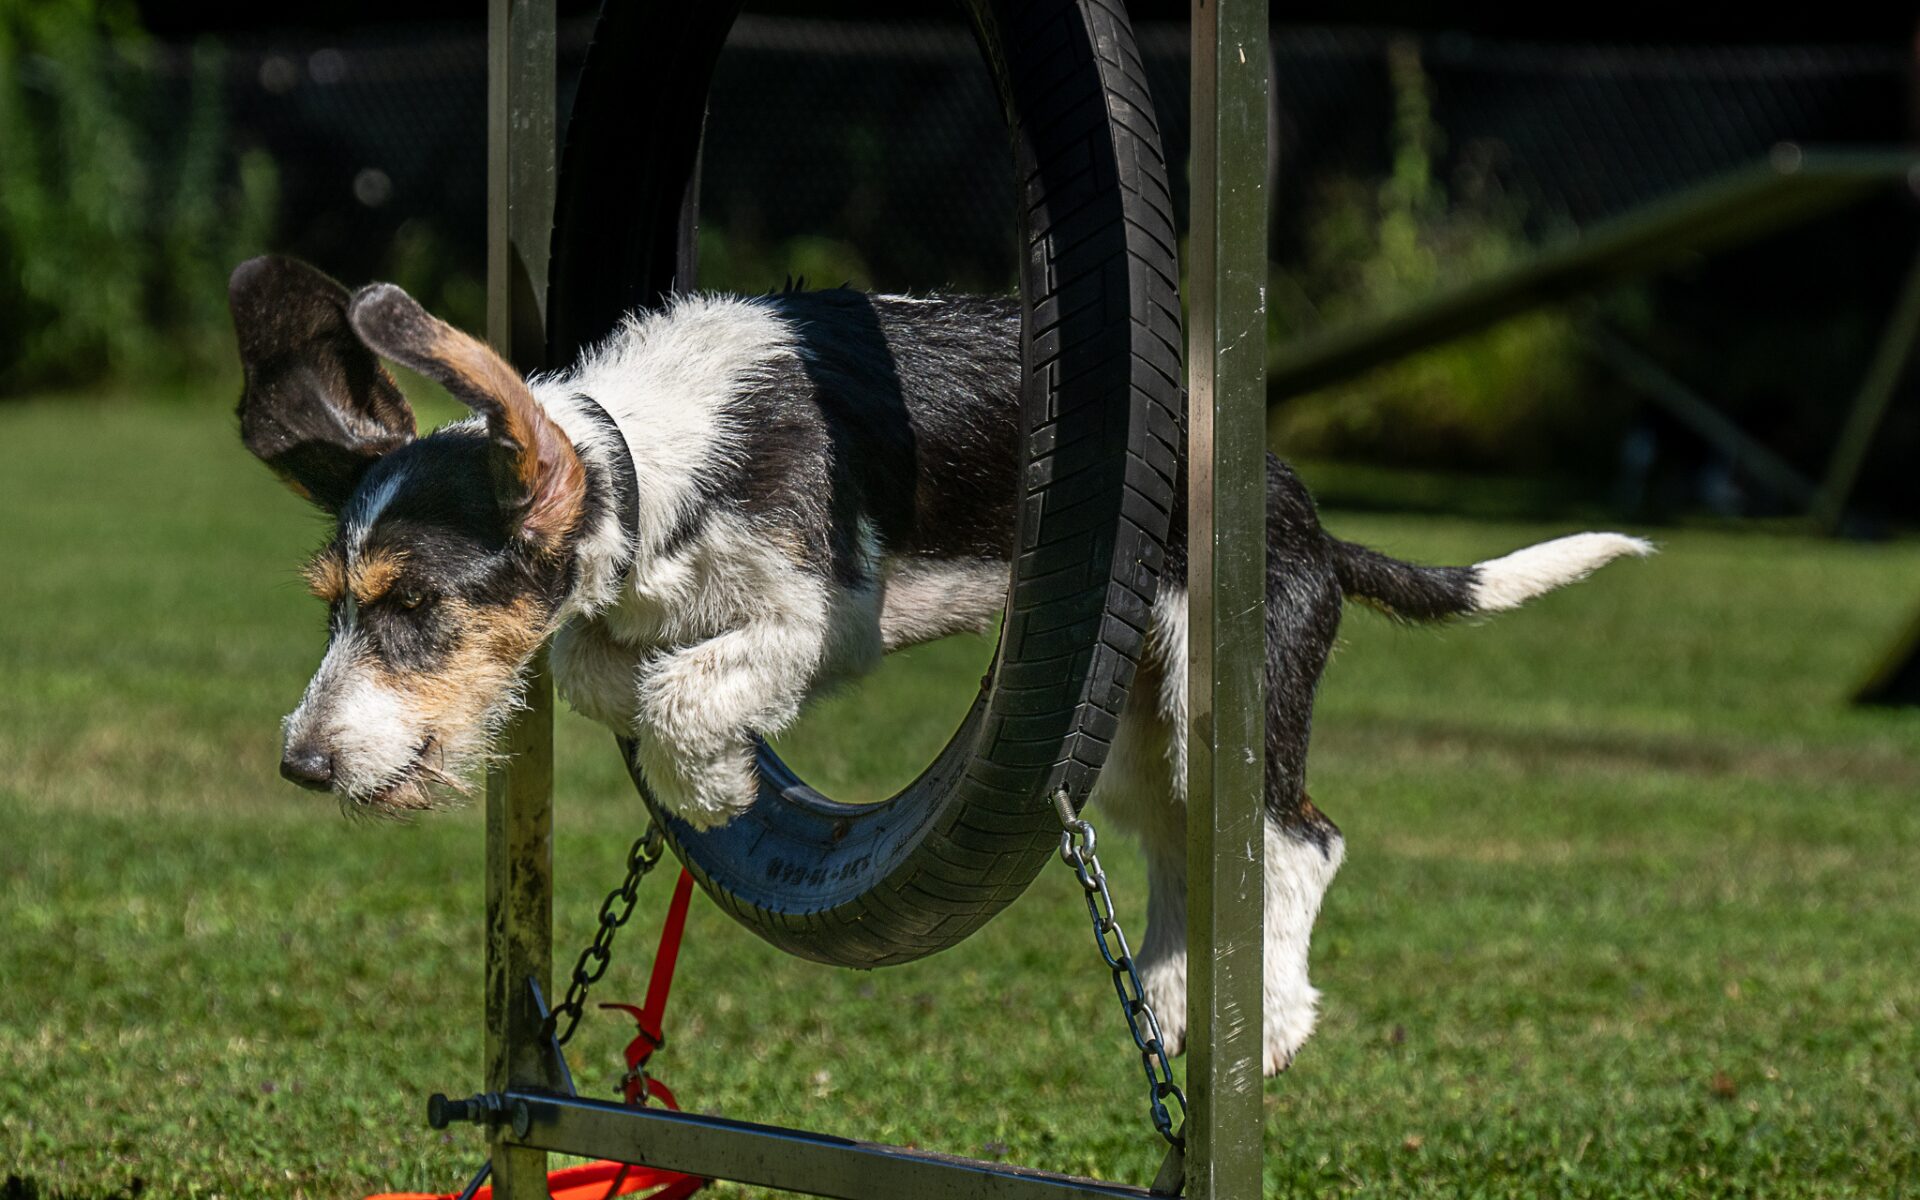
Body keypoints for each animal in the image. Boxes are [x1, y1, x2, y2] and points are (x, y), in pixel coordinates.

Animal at [228, 255, 1651, 1075]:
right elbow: (598, 665)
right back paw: (1178, 1003)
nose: (301, 766)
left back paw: (1272, 1015)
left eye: (415, 604)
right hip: (1137, 729)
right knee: (1187, 849)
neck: (656, 451)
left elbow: (683, 691)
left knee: (1299, 836)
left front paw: (718, 790)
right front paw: (696, 755)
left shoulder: (827, 613)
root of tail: (1303, 509)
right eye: (335, 607)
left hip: (1219, 690)